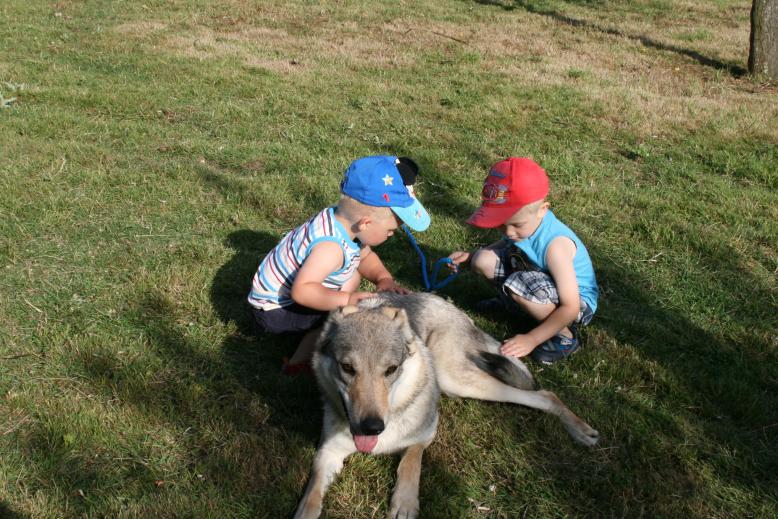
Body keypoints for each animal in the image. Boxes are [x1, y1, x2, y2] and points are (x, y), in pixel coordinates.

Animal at [294, 294, 596, 516]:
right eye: (347, 368)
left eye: (391, 370)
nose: (372, 428)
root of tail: (450, 305)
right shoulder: (328, 452)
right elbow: (311, 496)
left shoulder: (425, 433)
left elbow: (411, 463)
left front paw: (404, 503)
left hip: (455, 378)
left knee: (545, 395)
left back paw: (582, 430)